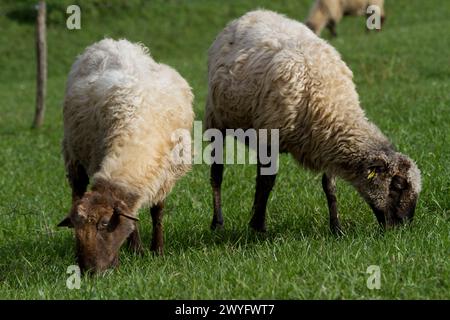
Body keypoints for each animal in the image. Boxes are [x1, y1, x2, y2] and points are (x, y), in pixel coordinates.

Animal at [57, 38, 193, 272]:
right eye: (76, 227)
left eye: (104, 224)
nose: (89, 271)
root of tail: (110, 42)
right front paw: (137, 250)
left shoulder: (165, 175)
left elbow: (157, 211)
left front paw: (157, 250)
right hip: (73, 155)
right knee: (77, 190)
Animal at [204, 10, 422, 235]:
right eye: (397, 186)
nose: (403, 227)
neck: (331, 100)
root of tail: (254, 12)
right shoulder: (271, 138)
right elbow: (266, 182)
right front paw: (258, 228)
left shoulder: (326, 140)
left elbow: (329, 186)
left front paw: (336, 228)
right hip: (216, 118)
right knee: (217, 173)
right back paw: (217, 222)